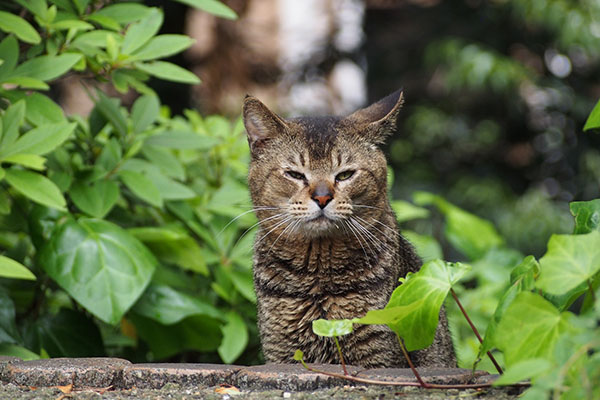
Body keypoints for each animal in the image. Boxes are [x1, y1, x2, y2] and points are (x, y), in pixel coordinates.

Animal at [241, 90, 452, 368]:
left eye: (344, 175)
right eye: (295, 175)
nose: (322, 198)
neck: (317, 274)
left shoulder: (378, 353)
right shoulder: (282, 353)